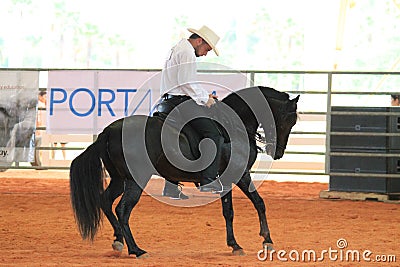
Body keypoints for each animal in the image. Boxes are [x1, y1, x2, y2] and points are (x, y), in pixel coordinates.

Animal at [69, 86, 300, 260]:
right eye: (288, 119)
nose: (277, 152)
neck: (234, 126)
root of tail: (108, 131)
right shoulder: (239, 175)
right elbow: (254, 203)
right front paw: (266, 240)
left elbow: (233, 210)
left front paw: (236, 244)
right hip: (135, 180)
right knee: (123, 210)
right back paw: (137, 250)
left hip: (119, 179)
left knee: (105, 201)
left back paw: (118, 240)